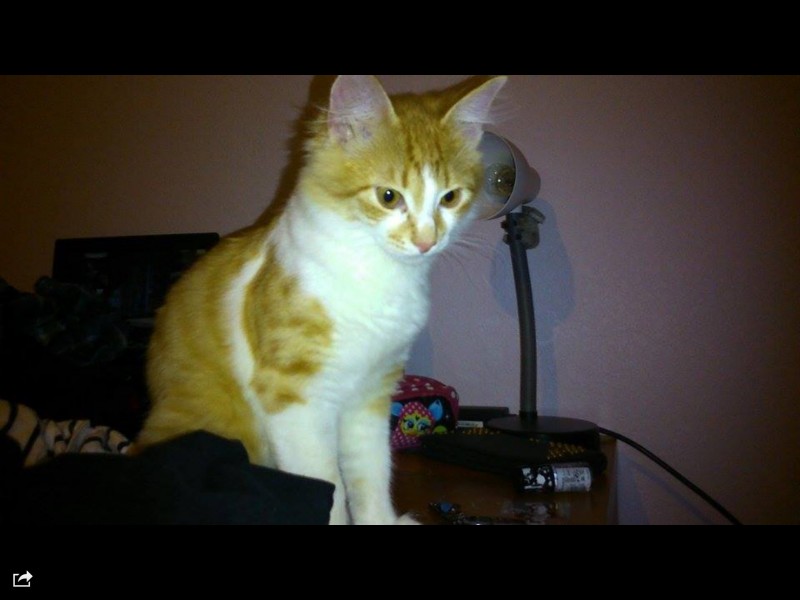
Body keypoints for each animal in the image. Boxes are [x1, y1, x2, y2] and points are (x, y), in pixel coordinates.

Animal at [135, 74, 507, 524]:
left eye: (450, 198)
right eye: (388, 197)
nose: (426, 241)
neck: (374, 278)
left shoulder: (370, 397)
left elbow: (370, 475)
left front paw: (380, 519)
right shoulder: (295, 400)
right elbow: (326, 485)